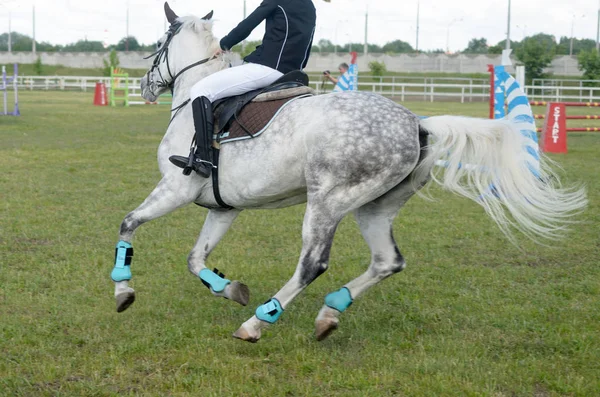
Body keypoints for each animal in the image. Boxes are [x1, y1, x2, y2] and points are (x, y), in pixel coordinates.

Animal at [111, 4, 584, 342]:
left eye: (159, 44)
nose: (145, 87)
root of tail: (418, 124)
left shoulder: (175, 188)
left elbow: (128, 224)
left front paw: (123, 291)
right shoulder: (224, 207)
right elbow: (195, 259)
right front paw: (230, 289)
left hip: (326, 201)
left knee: (313, 263)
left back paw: (259, 322)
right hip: (373, 207)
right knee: (387, 261)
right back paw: (328, 314)